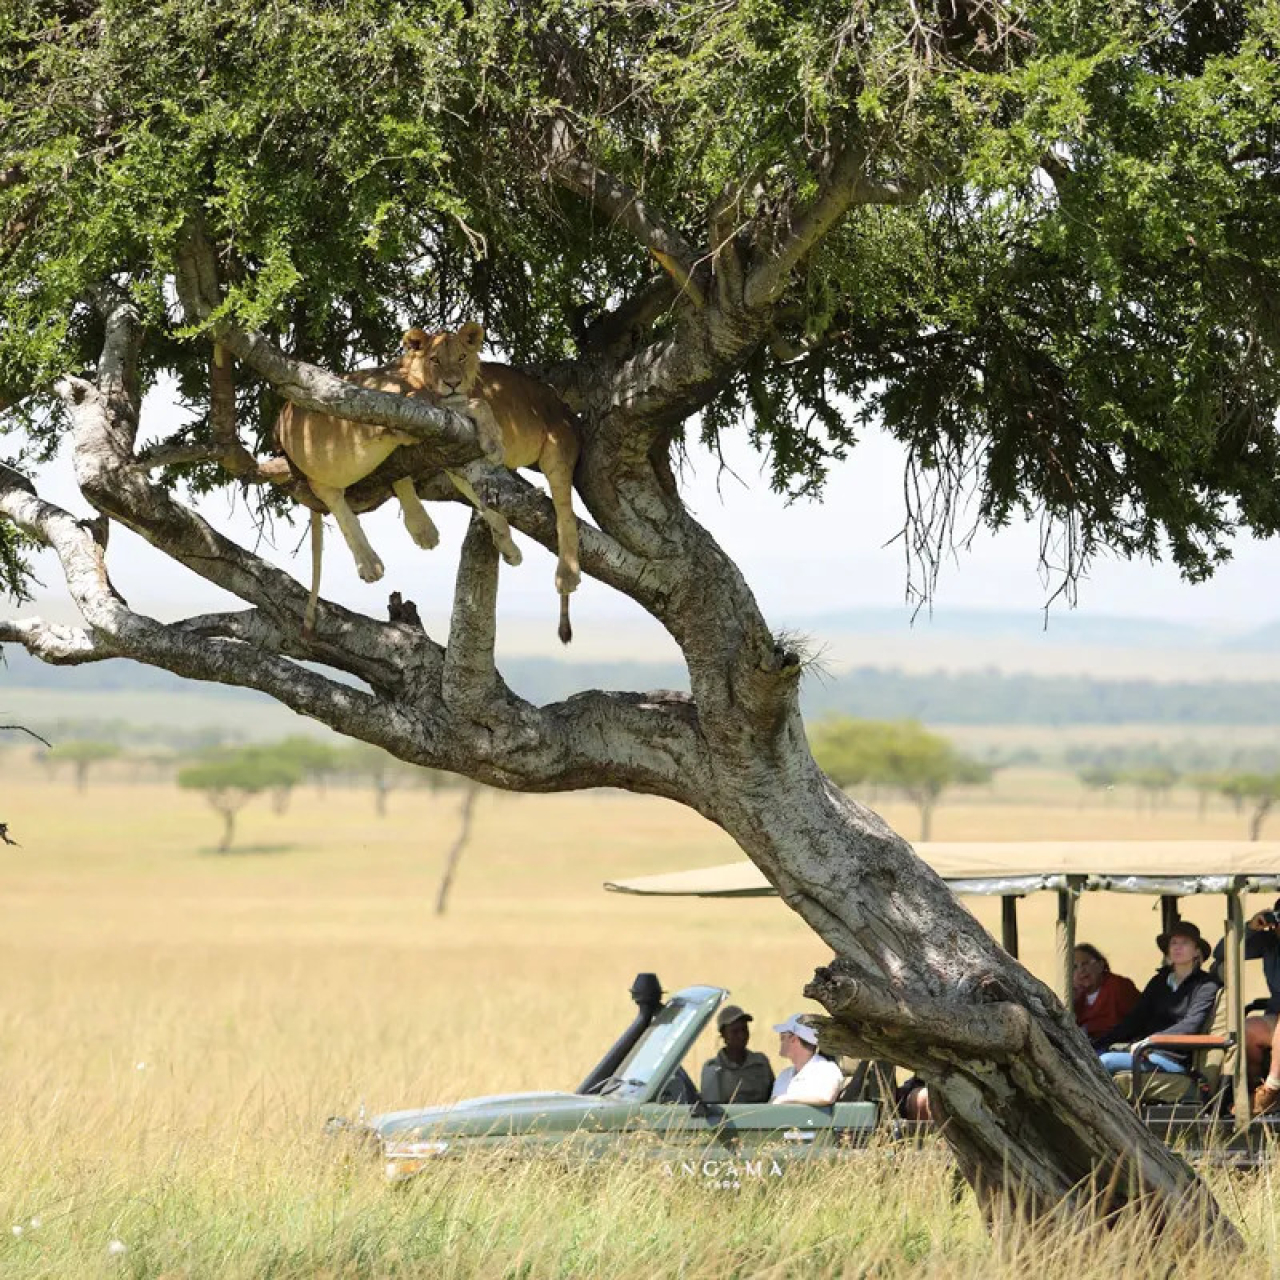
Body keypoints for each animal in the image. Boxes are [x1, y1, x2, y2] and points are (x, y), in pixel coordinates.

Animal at [423, 321, 582, 644]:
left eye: (461, 357)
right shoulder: (455, 463)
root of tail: (565, 409)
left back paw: (567, 576)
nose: (452, 383)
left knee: (566, 514)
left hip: (557, 449)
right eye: (435, 360)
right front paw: (507, 547)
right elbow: (486, 506)